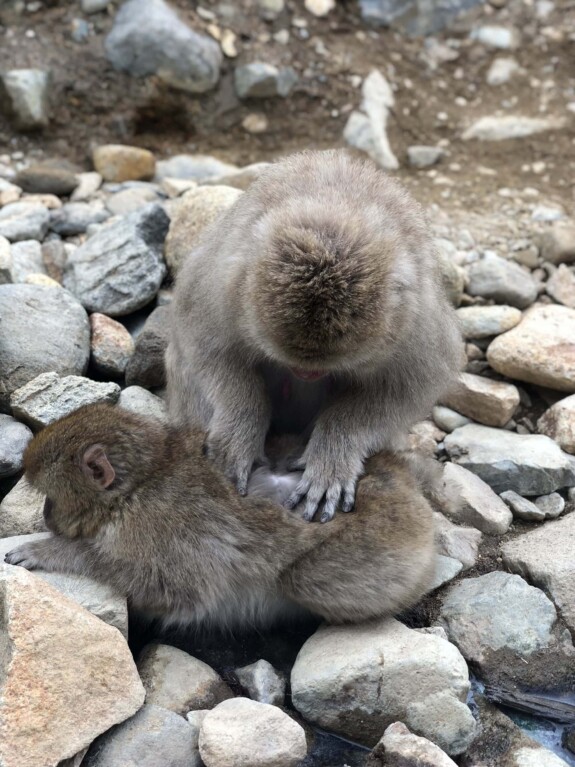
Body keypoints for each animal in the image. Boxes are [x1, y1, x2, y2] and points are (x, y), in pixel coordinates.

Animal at [5, 404, 436, 628]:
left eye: (50, 499)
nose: (47, 518)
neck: (141, 484)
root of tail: (406, 480)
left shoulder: (160, 528)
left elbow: (170, 589)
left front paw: (48, 551)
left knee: (304, 579)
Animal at [165, 149, 463, 523]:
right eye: (296, 363)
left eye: (323, 366)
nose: (306, 373)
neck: (334, 214)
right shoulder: (219, 283)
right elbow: (205, 343)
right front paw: (240, 429)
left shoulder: (415, 322)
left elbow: (408, 388)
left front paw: (331, 457)